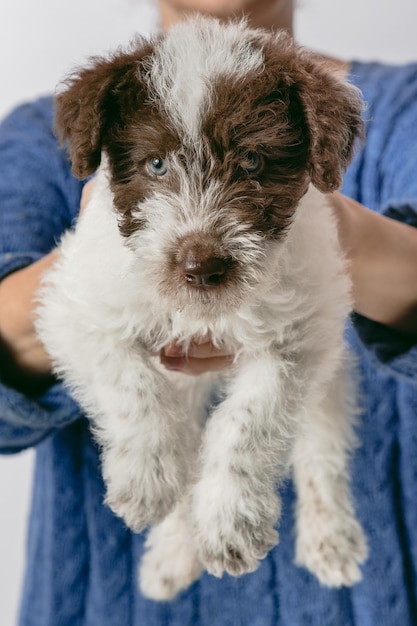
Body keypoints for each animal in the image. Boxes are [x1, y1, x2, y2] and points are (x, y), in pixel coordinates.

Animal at [36, 17, 368, 596]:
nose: (202, 268)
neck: (203, 312)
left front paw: (230, 521)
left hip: (333, 376)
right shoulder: (77, 309)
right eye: (156, 163)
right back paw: (171, 556)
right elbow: (129, 385)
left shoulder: (305, 333)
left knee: (321, 452)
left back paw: (331, 541)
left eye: (252, 161)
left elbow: (247, 423)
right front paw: (147, 479)